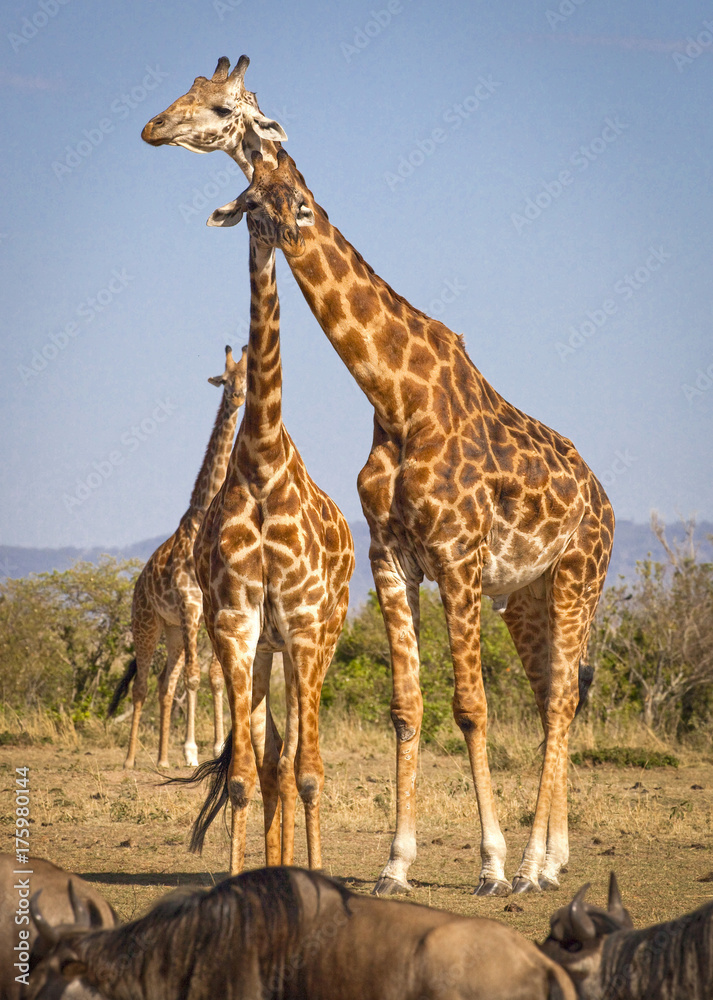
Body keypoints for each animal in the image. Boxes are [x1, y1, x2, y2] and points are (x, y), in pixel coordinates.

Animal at [107, 344, 248, 764]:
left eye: (246, 376)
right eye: (224, 379)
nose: (238, 397)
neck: (202, 515)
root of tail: (137, 586)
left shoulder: (209, 610)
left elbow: (215, 677)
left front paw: (215, 745)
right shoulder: (189, 606)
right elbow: (195, 678)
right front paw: (190, 749)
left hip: (170, 631)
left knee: (164, 683)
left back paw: (161, 757)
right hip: (147, 623)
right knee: (142, 685)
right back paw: (132, 758)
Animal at [178, 197, 356, 876]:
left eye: (295, 202)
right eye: (251, 205)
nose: (287, 231)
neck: (259, 460)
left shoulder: (303, 622)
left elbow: (309, 772)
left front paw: (318, 877)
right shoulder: (234, 622)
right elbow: (242, 776)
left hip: (321, 637)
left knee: (295, 758)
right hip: (263, 648)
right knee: (272, 753)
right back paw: (275, 869)